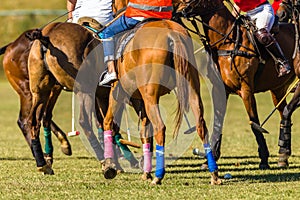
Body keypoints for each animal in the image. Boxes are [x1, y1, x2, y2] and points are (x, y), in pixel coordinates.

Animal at [101, 19, 220, 185]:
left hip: (150, 96)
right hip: (191, 88)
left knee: (160, 127)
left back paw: (158, 175)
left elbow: (108, 122)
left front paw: (109, 166)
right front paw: (146, 172)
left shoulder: (117, 92)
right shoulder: (140, 101)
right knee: (201, 125)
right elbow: (145, 132)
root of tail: (172, 34)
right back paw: (214, 174)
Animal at [176, 0, 300, 169]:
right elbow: (217, 122)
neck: (227, 42)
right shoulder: (219, 90)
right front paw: (210, 159)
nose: (177, 11)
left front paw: (264, 159)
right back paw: (283, 155)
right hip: (278, 89)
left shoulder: (246, 90)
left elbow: (254, 123)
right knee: (285, 112)